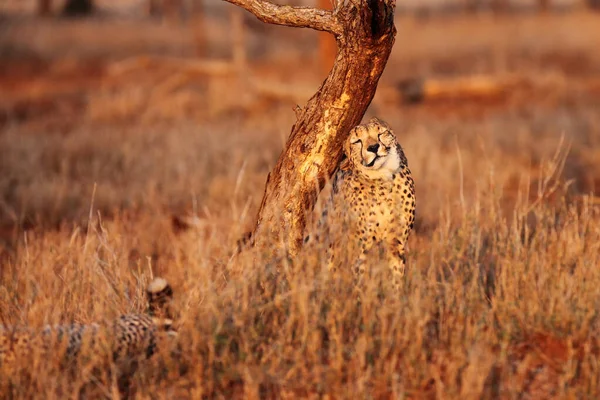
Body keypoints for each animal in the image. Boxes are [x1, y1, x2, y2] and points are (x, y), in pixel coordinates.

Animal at [308, 117, 414, 290]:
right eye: (357, 141)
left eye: (380, 133)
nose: (373, 147)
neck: (383, 178)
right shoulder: (359, 245)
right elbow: (358, 278)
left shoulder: (396, 242)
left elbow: (396, 278)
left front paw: (396, 297)